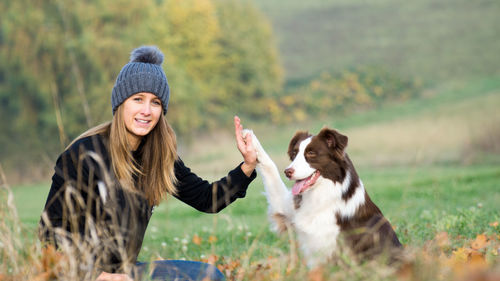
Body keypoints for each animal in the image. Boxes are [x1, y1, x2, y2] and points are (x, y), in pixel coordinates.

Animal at [244, 127, 404, 266]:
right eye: (294, 154)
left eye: (311, 153)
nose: (287, 172)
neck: (320, 194)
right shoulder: (286, 209)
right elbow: (270, 168)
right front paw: (249, 139)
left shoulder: (333, 250)